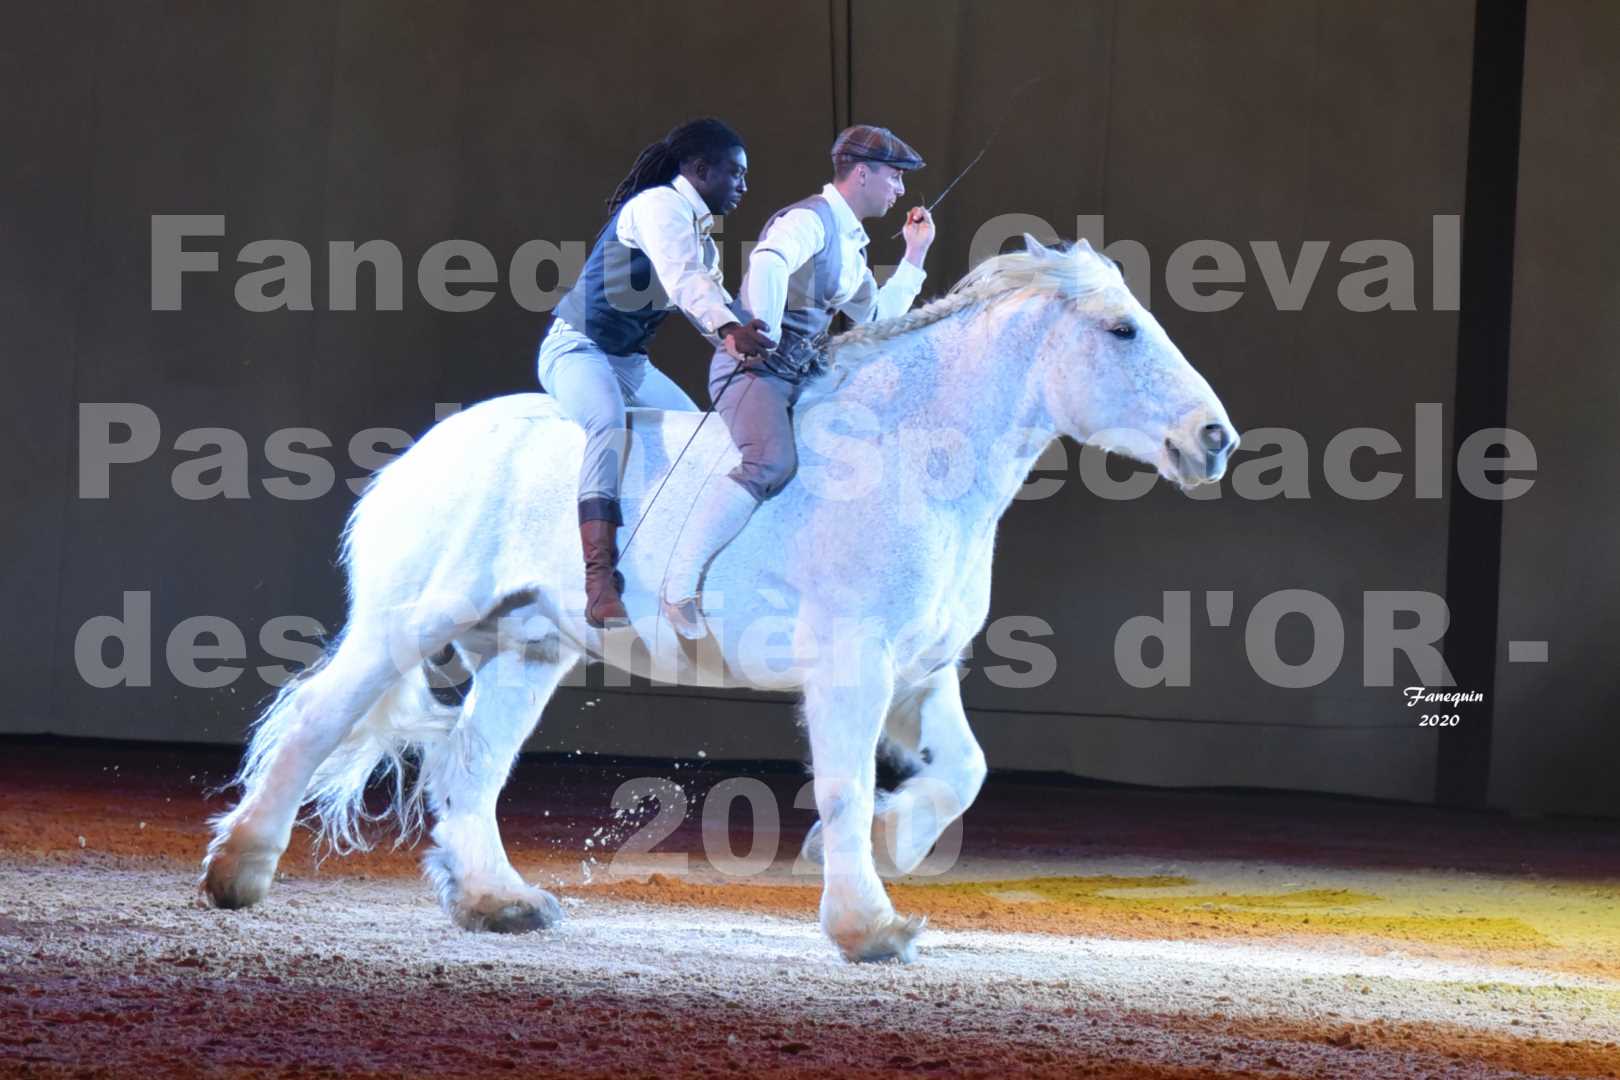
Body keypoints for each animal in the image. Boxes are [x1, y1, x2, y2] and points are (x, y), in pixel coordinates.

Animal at [202, 236, 1237, 965]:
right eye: (1122, 330)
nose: (1215, 439)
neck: (908, 464)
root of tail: (420, 456)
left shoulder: (921, 672)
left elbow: (963, 772)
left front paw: (892, 845)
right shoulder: (851, 669)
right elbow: (848, 785)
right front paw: (868, 926)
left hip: (527, 649)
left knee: (472, 767)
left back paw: (498, 904)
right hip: (406, 624)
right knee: (318, 723)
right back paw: (237, 873)